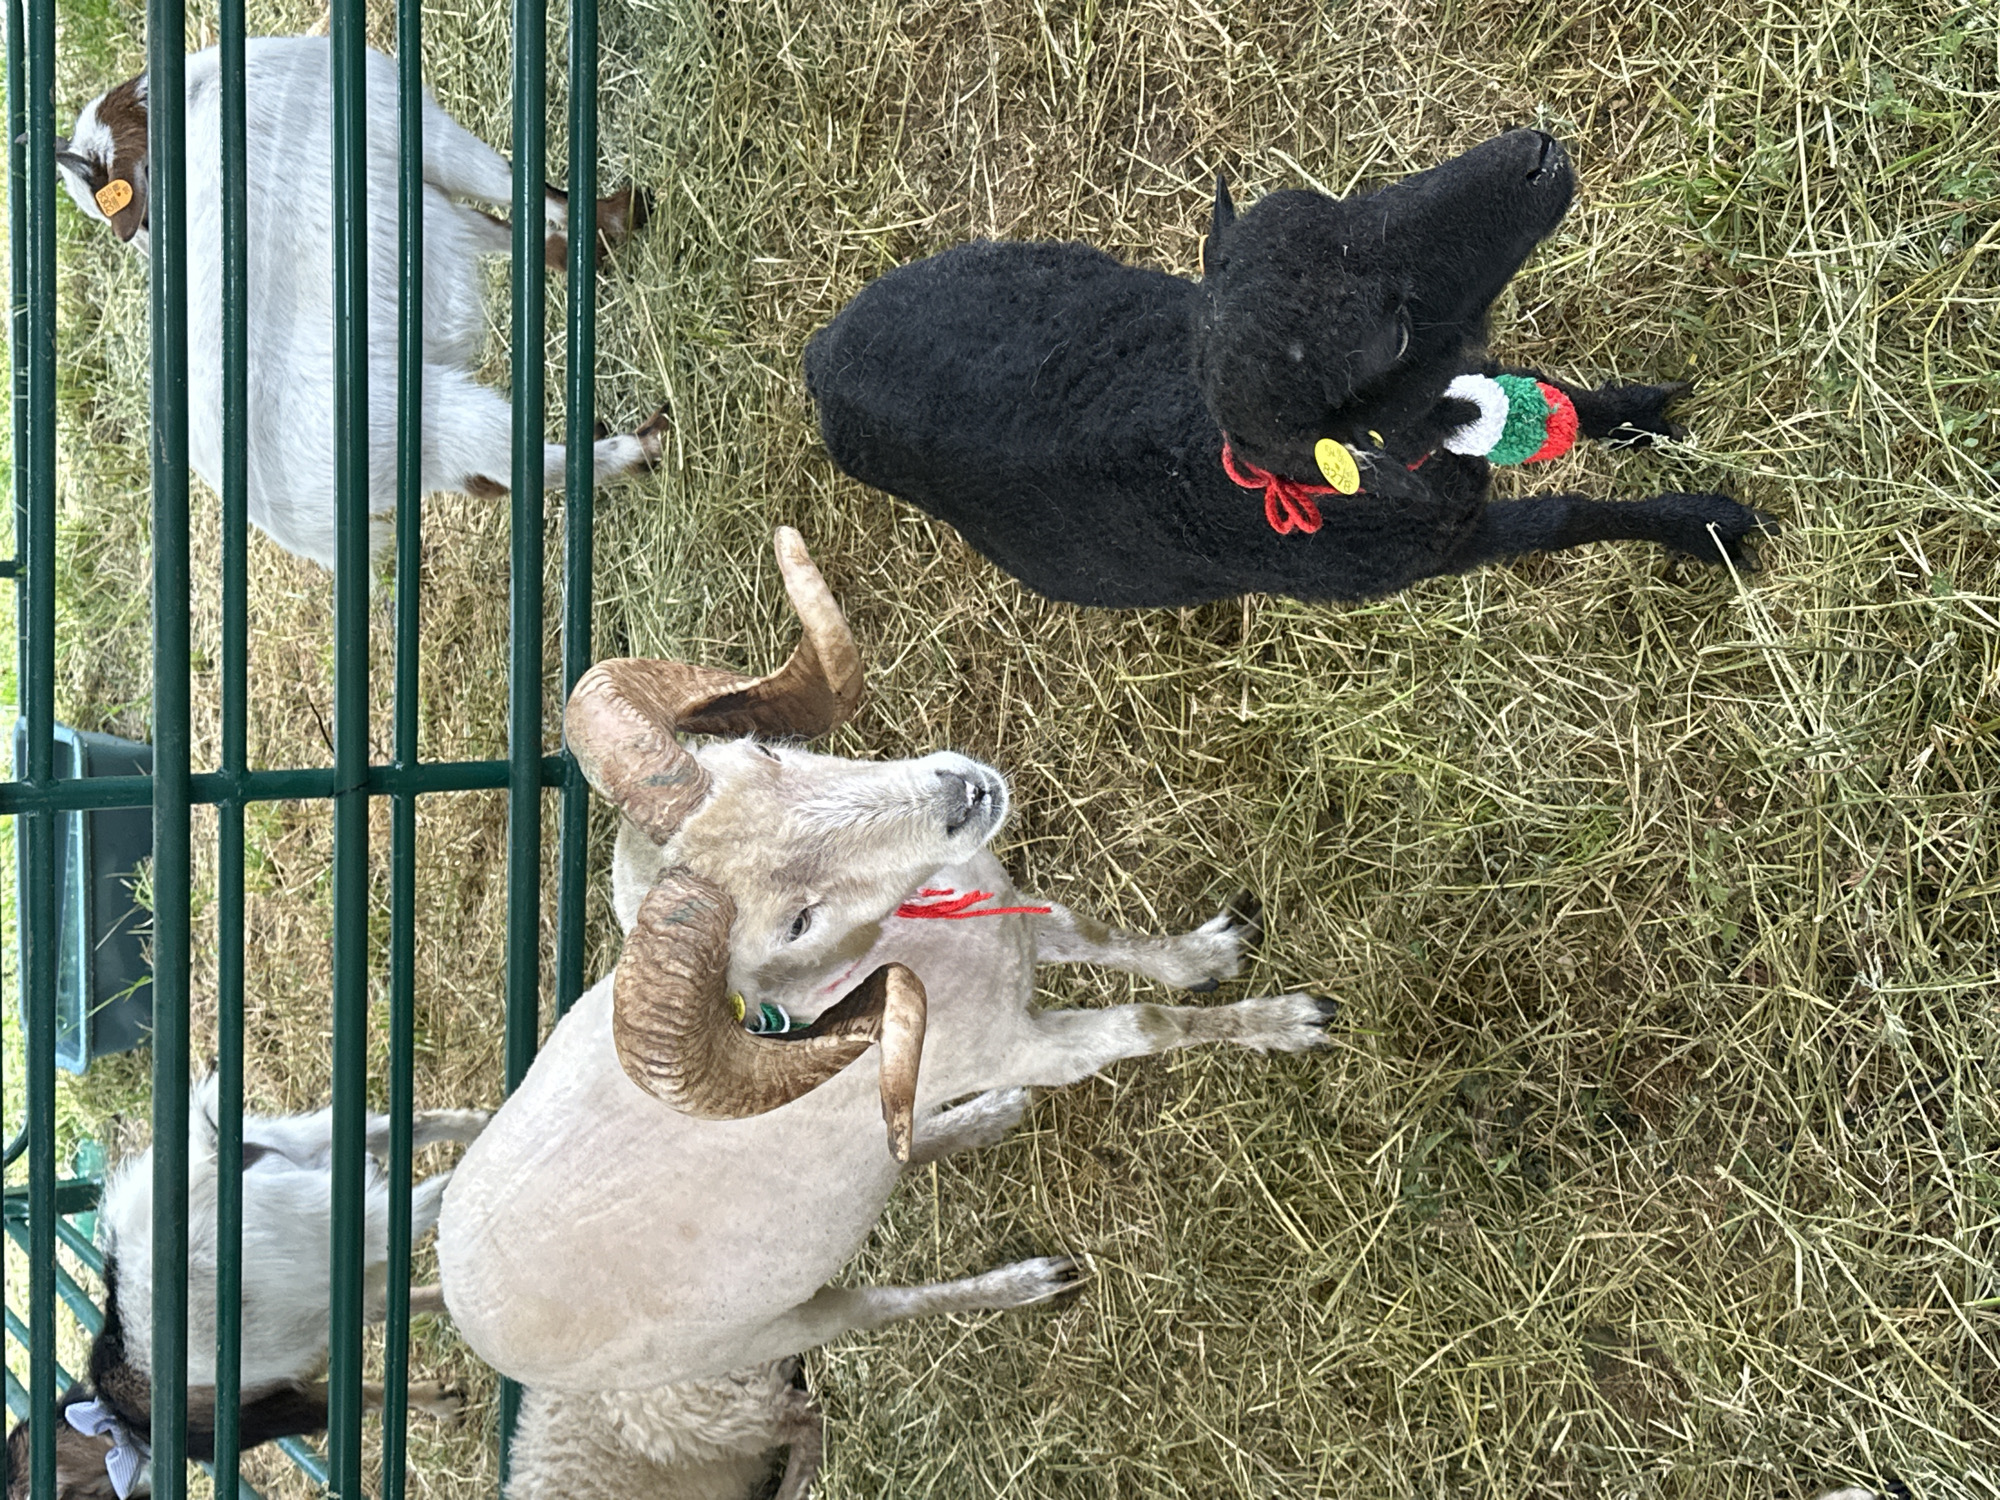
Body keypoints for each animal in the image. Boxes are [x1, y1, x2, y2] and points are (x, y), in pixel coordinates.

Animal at [3, 1077, 487, 1500]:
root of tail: (207, 1164)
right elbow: (383, 1310)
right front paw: (443, 1390)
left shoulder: (273, 1411)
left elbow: (359, 1398)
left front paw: (442, 1402)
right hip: (304, 1147)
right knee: (405, 1129)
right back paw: (480, 1122)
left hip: (323, 1222)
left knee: (424, 1201)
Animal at [54, 34, 664, 571]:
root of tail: (298, 525)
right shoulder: (419, 132)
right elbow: (517, 186)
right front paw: (616, 216)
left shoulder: (419, 195)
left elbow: (494, 228)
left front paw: (585, 247)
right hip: (436, 415)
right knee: (528, 466)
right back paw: (643, 446)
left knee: (488, 479)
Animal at [436, 526, 1335, 1414]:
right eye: (797, 922)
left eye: (763, 752)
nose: (963, 794)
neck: (911, 942)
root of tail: (454, 1279)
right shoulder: (1035, 1046)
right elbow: (1148, 1025)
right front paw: (1287, 1023)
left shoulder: (1013, 921)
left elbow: (1099, 935)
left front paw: (1209, 953)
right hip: (775, 1326)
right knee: (883, 1304)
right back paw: (1024, 1281)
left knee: (906, 1150)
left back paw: (985, 1120)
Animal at [804, 128, 1773, 610]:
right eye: (1385, 334)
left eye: (1332, 201)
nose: (1536, 152)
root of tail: (818, 358)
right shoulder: (1451, 547)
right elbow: (1568, 515)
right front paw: (1711, 528)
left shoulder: (1466, 379)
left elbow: (1553, 396)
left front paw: (1643, 416)